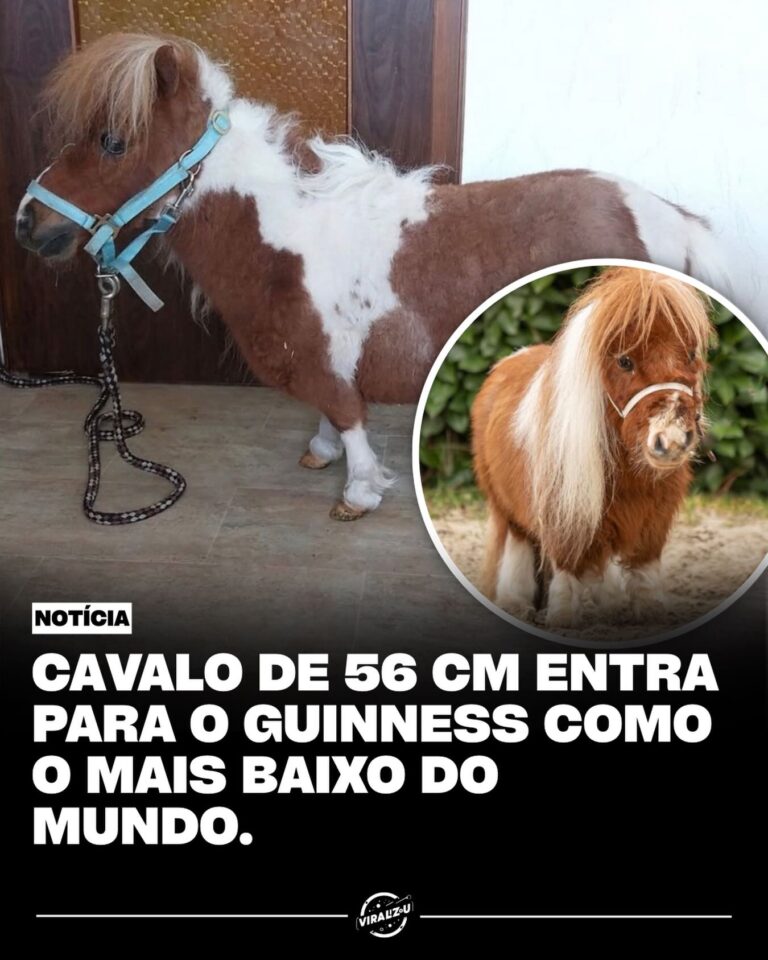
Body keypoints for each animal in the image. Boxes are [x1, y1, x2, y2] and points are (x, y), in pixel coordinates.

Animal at [15, 32, 729, 520]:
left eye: (112, 141)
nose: (28, 224)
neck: (282, 242)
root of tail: (668, 217)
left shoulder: (327, 364)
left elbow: (347, 414)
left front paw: (356, 492)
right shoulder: (319, 359)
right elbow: (329, 412)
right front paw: (321, 451)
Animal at [471, 267, 714, 629]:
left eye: (689, 354)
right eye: (624, 361)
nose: (670, 440)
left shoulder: (652, 520)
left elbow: (643, 576)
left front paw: (651, 616)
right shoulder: (565, 516)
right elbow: (567, 575)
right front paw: (562, 620)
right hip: (506, 508)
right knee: (519, 549)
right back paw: (517, 604)